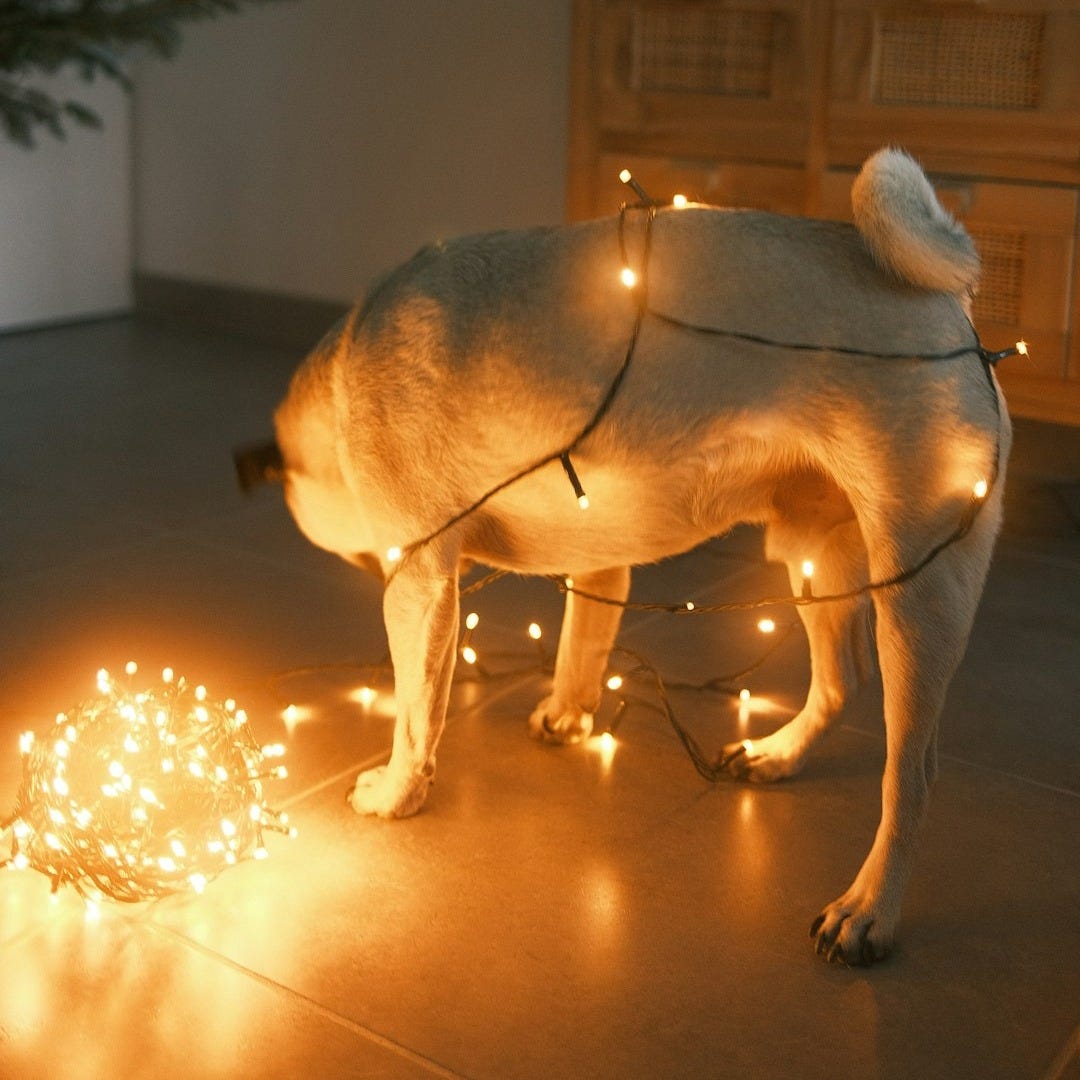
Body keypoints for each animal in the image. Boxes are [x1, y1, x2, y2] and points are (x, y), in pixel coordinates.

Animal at [261, 150, 1010, 963]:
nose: (367, 562)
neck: (344, 374)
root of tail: (949, 305)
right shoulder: (600, 563)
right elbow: (581, 644)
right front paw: (568, 715)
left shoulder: (422, 587)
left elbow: (416, 715)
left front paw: (398, 793)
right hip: (814, 559)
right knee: (840, 681)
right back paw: (780, 754)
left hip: (918, 594)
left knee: (911, 774)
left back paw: (870, 907)